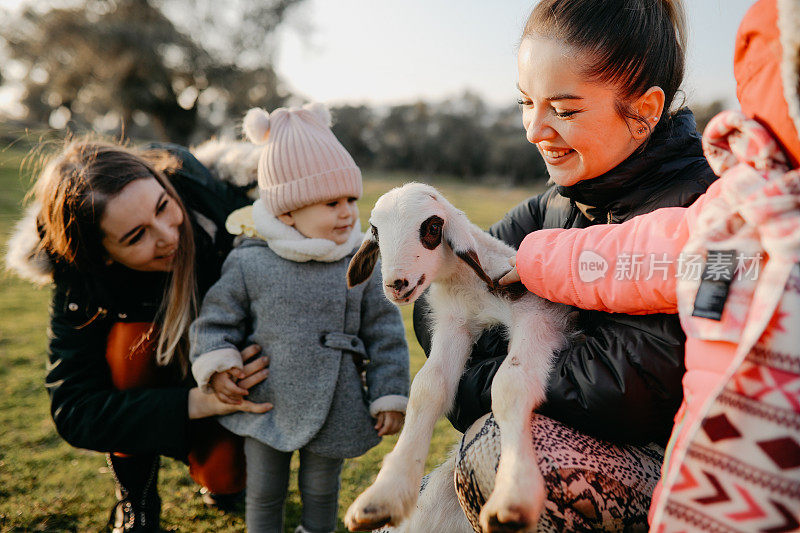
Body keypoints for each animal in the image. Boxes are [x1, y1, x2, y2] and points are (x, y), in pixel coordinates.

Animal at [344, 181, 576, 528]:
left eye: (433, 227)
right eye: (374, 229)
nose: (396, 284)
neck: (471, 288)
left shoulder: (538, 318)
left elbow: (511, 384)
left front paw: (514, 492)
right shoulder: (455, 322)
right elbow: (428, 388)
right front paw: (384, 496)